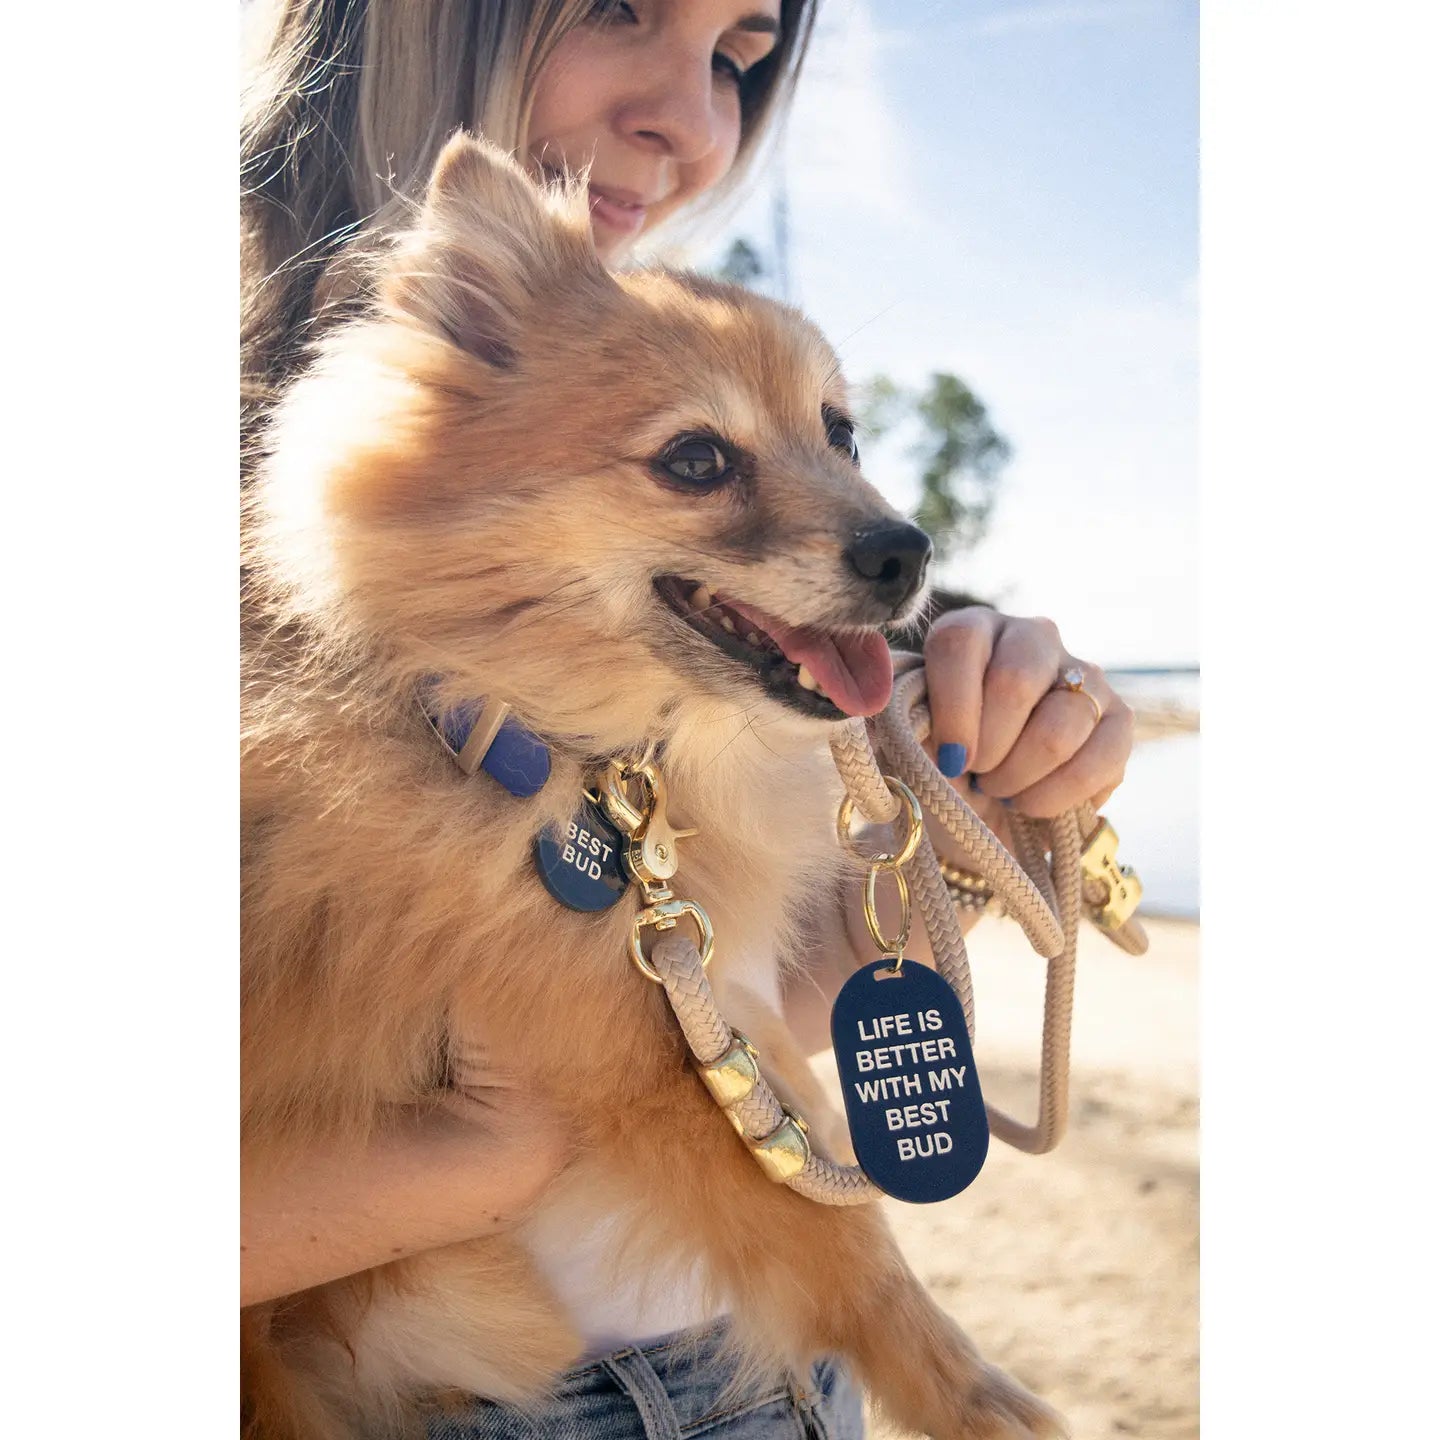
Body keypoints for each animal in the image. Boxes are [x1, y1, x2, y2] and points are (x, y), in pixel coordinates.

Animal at [244, 135, 1059, 1440]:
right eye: (696, 461)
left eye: (841, 434)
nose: (907, 548)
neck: (575, 759)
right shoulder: (641, 1063)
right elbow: (848, 1243)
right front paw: (977, 1401)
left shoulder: (706, 1011)